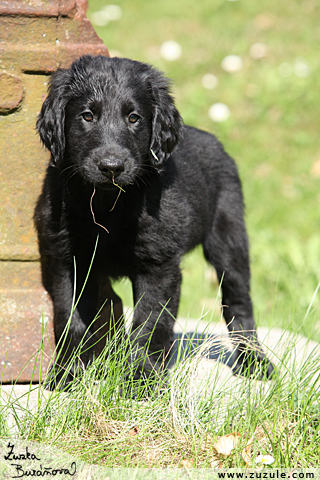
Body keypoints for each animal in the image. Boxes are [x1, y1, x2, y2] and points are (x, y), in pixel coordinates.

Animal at [35, 54, 276, 388]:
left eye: (134, 118)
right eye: (87, 116)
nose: (111, 167)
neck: (109, 203)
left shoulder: (159, 265)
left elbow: (150, 321)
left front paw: (141, 379)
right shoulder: (69, 258)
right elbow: (70, 317)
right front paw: (69, 373)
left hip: (229, 238)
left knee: (239, 303)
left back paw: (253, 360)